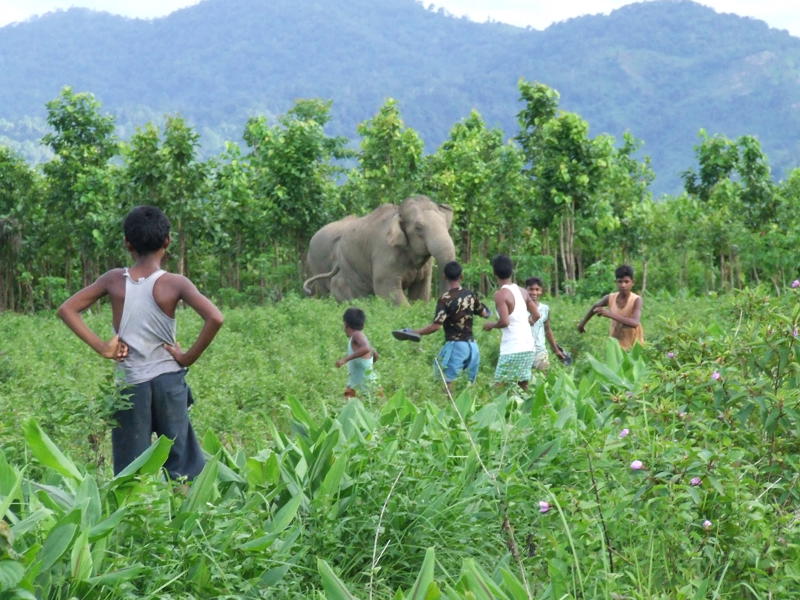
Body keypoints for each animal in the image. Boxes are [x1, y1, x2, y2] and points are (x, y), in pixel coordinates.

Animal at [303, 195, 456, 305]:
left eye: (445, 224)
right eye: (418, 228)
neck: (397, 212)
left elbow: (421, 290)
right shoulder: (386, 253)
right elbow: (387, 289)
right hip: (345, 265)